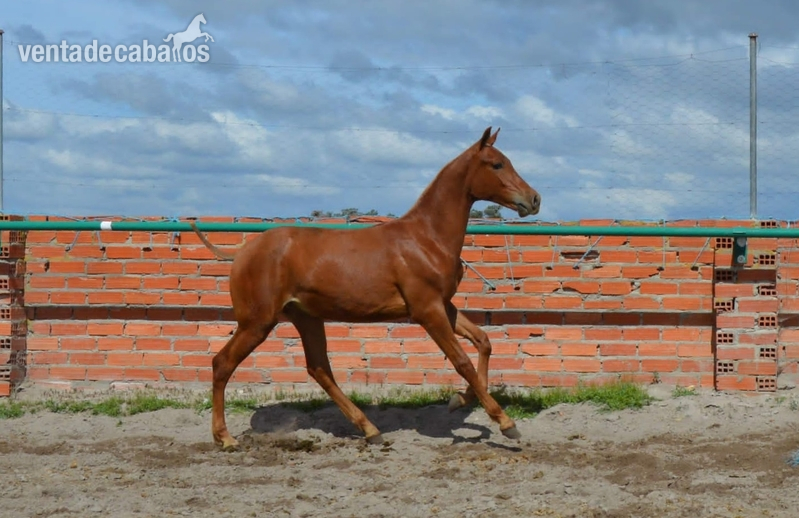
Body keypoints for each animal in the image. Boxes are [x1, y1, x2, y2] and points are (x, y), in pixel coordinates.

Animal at [190, 127, 541, 450]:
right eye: (497, 164)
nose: (534, 199)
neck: (427, 238)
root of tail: (241, 252)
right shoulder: (427, 311)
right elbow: (462, 361)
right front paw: (506, 424)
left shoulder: (444, 305)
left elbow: (484, 343)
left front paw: (458, 401)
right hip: (257, 322)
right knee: (222, 363)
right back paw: (225, 438)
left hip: (306, 318)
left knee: (319, 368)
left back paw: (370, 429)